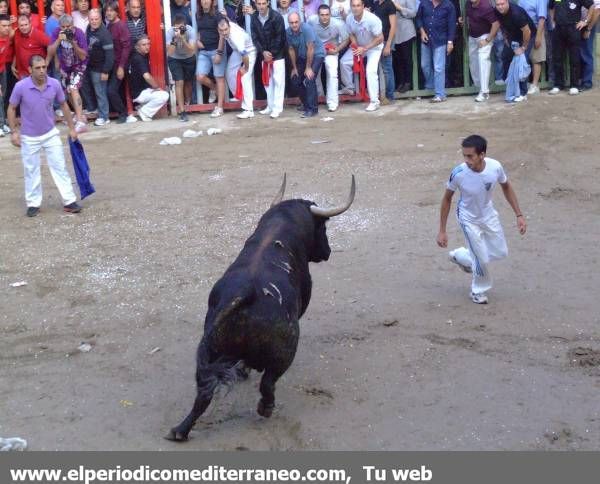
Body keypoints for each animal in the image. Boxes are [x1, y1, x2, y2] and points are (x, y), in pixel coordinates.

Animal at [166, 176, 356, 440]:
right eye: (323, 228)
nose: (327, 252)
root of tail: (246, 294)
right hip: (286, 350)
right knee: (268, 382)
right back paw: (265, 408)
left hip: (210, 350)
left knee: (203, 394)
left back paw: (180, 430)